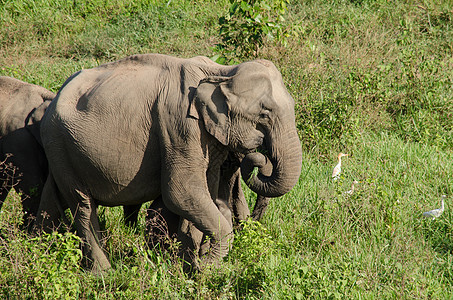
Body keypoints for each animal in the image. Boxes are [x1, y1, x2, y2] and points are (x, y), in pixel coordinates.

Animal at [35, 54, 302, 272]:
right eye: (264, 113)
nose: (259, 156)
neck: (222, 71)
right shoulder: (179, 126)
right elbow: (182, 192)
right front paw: (204, 266)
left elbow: (204, 191)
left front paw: (187, 264)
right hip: (60, 143)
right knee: (83, 206)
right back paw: (104, 273)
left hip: (60, 151)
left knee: (54, 197)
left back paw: (38, 249)